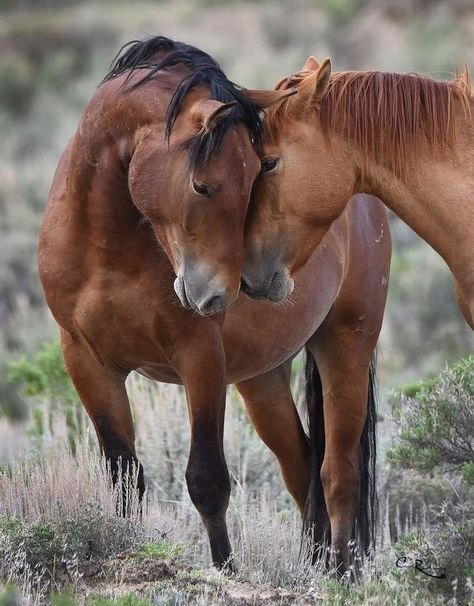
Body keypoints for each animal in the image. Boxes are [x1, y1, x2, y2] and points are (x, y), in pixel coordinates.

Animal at [39, 38, 388, 580]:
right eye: (201, 185)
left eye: (258, 178)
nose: (221, 294)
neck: (106, 247)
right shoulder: (87, 361)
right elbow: (124, 475)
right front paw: (124, 548)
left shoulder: (200, 359)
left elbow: (207, 479)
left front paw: (225, 569)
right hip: (262, 380)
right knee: (302, 466)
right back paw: (312, 564)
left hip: (345, 347)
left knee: (338, 472)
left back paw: (340, 574)